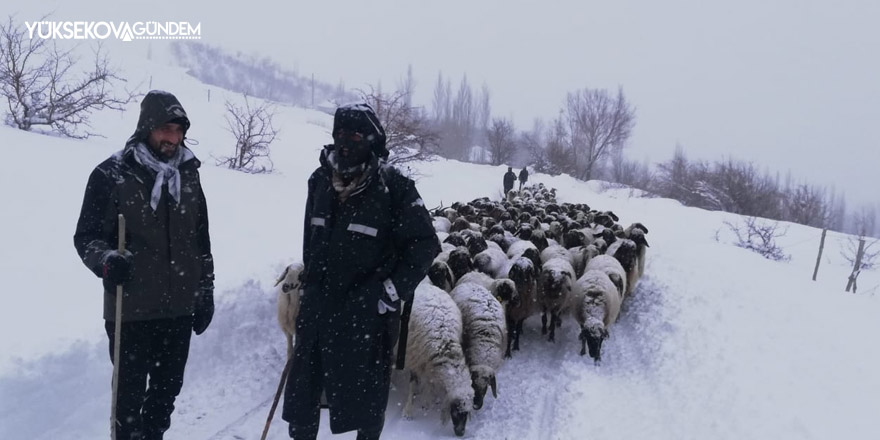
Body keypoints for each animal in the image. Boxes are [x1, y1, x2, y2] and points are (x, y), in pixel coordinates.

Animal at [404, 282, 474, 436]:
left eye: (467, 413)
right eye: (456, 410)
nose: (460, 434)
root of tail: (423, 283)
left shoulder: (428, 361)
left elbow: (429, 381)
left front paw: (427, 400)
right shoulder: (413, 358)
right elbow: (411, 384)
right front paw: (408, 411)